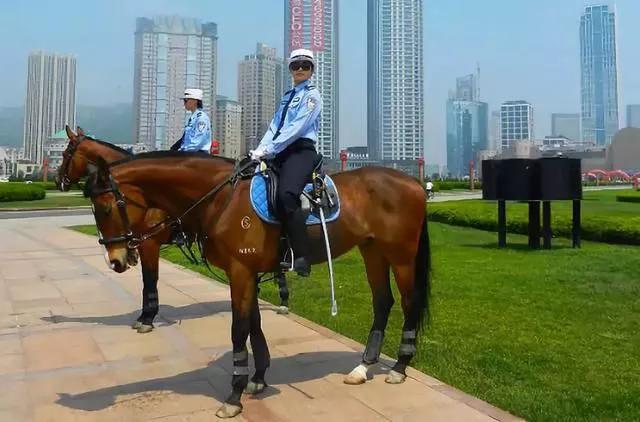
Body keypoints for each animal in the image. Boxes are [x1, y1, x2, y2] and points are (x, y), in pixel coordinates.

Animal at [85, 152, 430, 418]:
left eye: (106, 208)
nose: (115, 260)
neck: (220, 199)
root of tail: (414, 183)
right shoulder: (245, 273)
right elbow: (253, 322)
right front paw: (258, 377)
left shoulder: (240, 271)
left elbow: (239, 328)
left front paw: (234, 395)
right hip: (372, 250)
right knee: (382, 301)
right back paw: (363, 367)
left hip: (401, 254)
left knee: (409, 302)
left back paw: (399, 367)